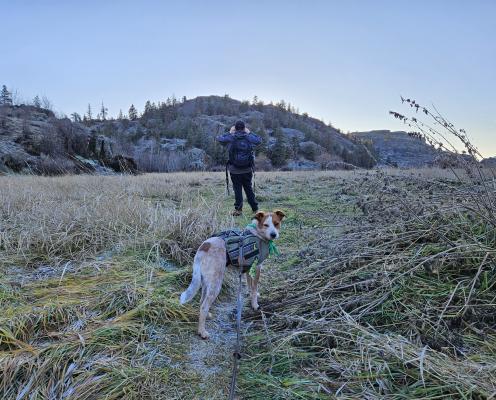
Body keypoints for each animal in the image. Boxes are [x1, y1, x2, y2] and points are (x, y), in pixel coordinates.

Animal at [180, 211, 284, 340]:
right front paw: (255, 305)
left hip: (205, 282)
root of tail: (204, 247)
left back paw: (207, 315)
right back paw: (202, 332)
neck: (258, 233)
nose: (273, 234)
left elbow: (250, 286)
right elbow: (254, 288)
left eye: (276, 223)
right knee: (204, 306)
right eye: (266, 225)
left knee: (201, 301)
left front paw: (251, 297)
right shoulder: (257, 267)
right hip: (216, 284)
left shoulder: (248, 269)